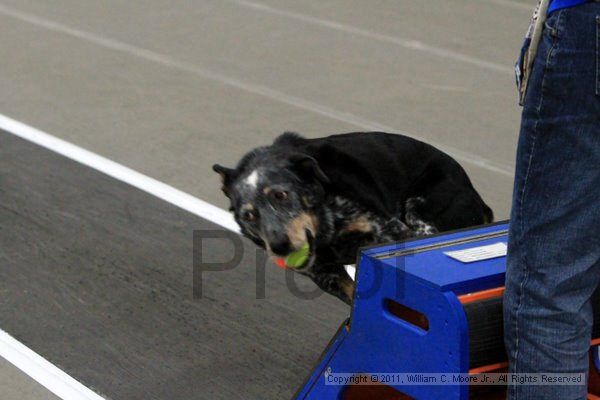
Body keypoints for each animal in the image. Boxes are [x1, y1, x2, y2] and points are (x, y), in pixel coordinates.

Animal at [214, 131, 492, 304]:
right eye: (249, 215)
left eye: (281, 194)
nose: (280, 246)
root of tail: (480, 201)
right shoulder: (326, 275)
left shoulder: (389, 230)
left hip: (421, 215)